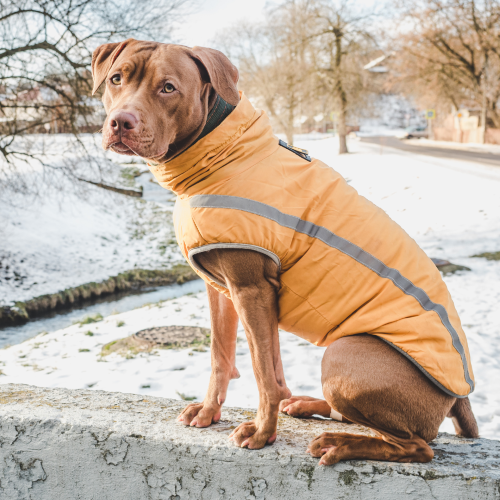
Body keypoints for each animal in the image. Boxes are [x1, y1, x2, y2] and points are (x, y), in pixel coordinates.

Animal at [92, 39, 478, 464]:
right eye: (117, 78)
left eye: (168, 88)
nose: (120, 122)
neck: (219, 151)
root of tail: (459, 397)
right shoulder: (221, 289)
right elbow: (222, 356)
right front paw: (209, 412)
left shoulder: (252, 289)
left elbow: (263, 372)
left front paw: (262, 432)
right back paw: (309, 406)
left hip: (345, 352)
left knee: (416, 445)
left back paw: (339, 444)